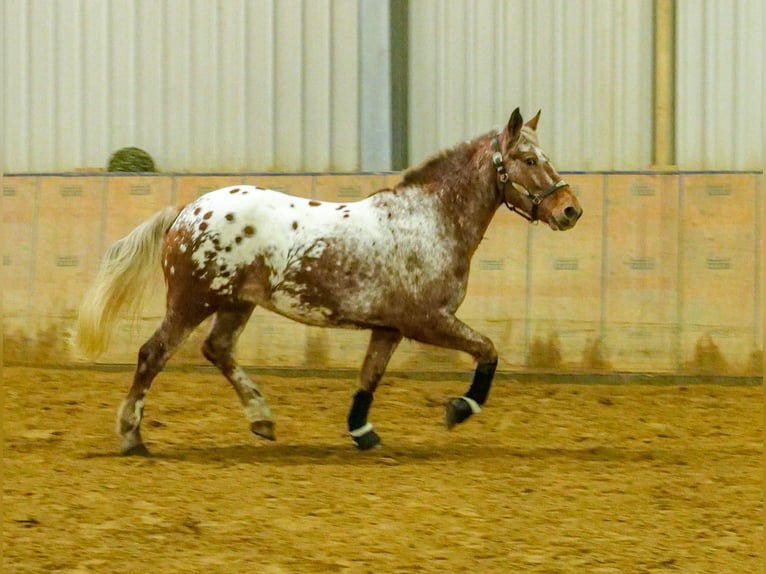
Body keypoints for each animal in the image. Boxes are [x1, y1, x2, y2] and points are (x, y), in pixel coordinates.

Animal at [76, 109, 584, 460]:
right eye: (528, 158)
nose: (570, 210)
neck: (428, 221)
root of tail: (186, 211)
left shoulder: (389, 328)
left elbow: (368, 377)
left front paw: (363, 433)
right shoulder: (428, 321)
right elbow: (488, 351)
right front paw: (459, 410)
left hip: (236, 304)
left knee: (217, 350)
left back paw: (262, 420)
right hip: (191, 302)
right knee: (153, 354)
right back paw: (132, 437)